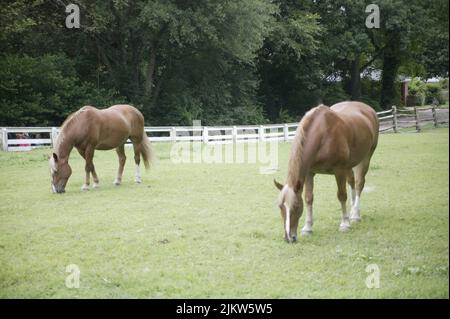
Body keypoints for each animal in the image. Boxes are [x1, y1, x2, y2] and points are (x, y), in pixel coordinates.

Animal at [274, 102, 380, 242]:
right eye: (280, 206)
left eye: (296, 206)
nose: (288, 238)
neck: (322, 134)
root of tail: (368, 109)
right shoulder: (309, 173)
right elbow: (308, 198)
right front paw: (307, 228)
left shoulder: (339, 170)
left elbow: (342, 195)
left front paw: (345, 224)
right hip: (349, 165)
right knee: (351, 181)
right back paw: (352, 211)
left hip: (366, 157)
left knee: (359, 184)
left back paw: (356, 214)